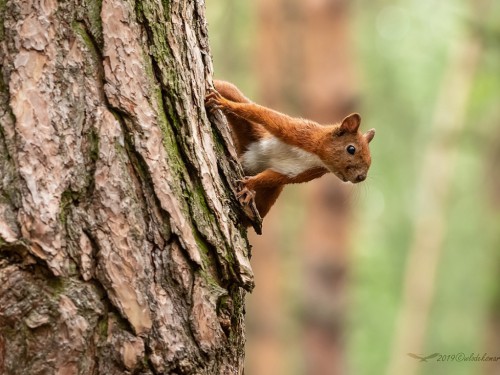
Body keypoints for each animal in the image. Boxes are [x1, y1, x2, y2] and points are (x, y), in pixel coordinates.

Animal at [204, 80, 376, 219]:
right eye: (351, 149)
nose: (361, 177)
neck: (315, 155)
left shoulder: (303, 173)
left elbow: (274, 177)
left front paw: (249, 185)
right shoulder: (297, 132)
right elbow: (262, 114)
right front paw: (225, 104)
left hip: (269, 195)